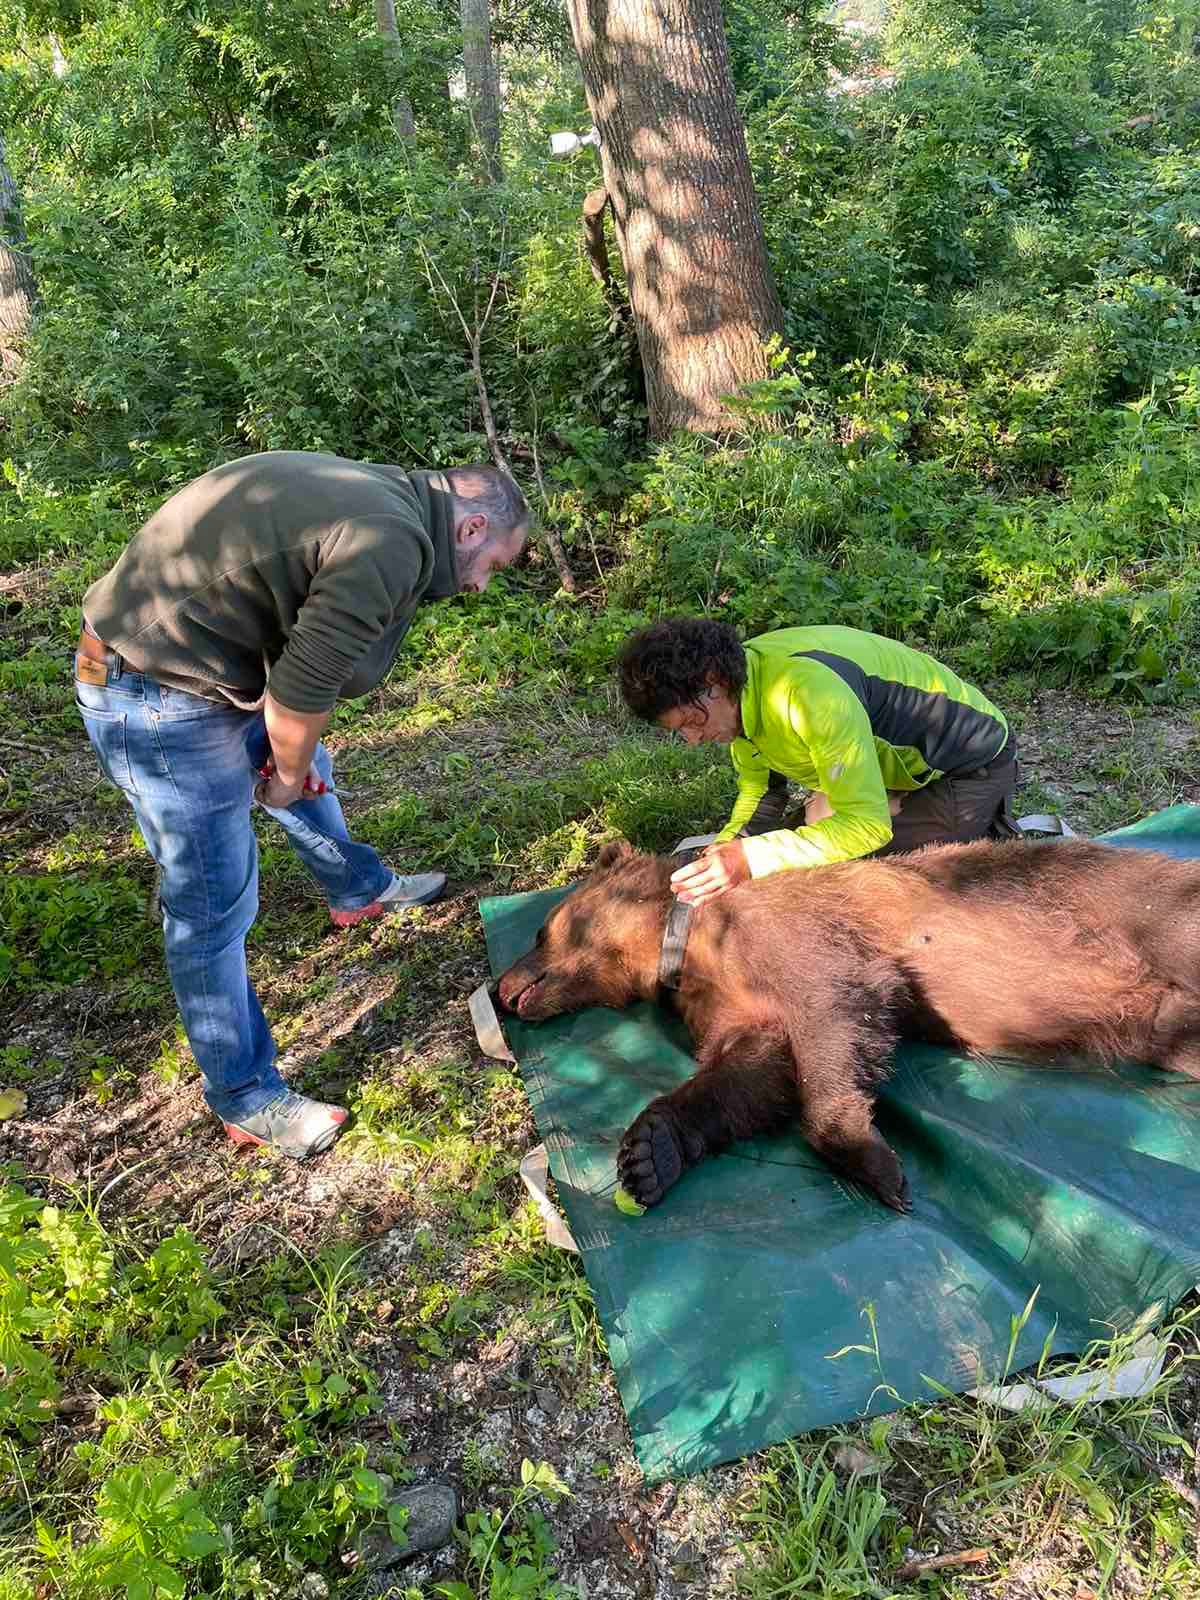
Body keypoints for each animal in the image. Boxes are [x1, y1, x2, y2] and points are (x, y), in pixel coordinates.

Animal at [496, 838, 1200, 1209]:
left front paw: (875, 1163)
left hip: (1145, 910)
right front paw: (648, 1152)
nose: (501, 991)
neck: (683, 943)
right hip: (1161, 1019)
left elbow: (831, 1017)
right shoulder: (730, 1002)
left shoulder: (801, 942)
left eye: (539, 930)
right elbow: (748, 1071)